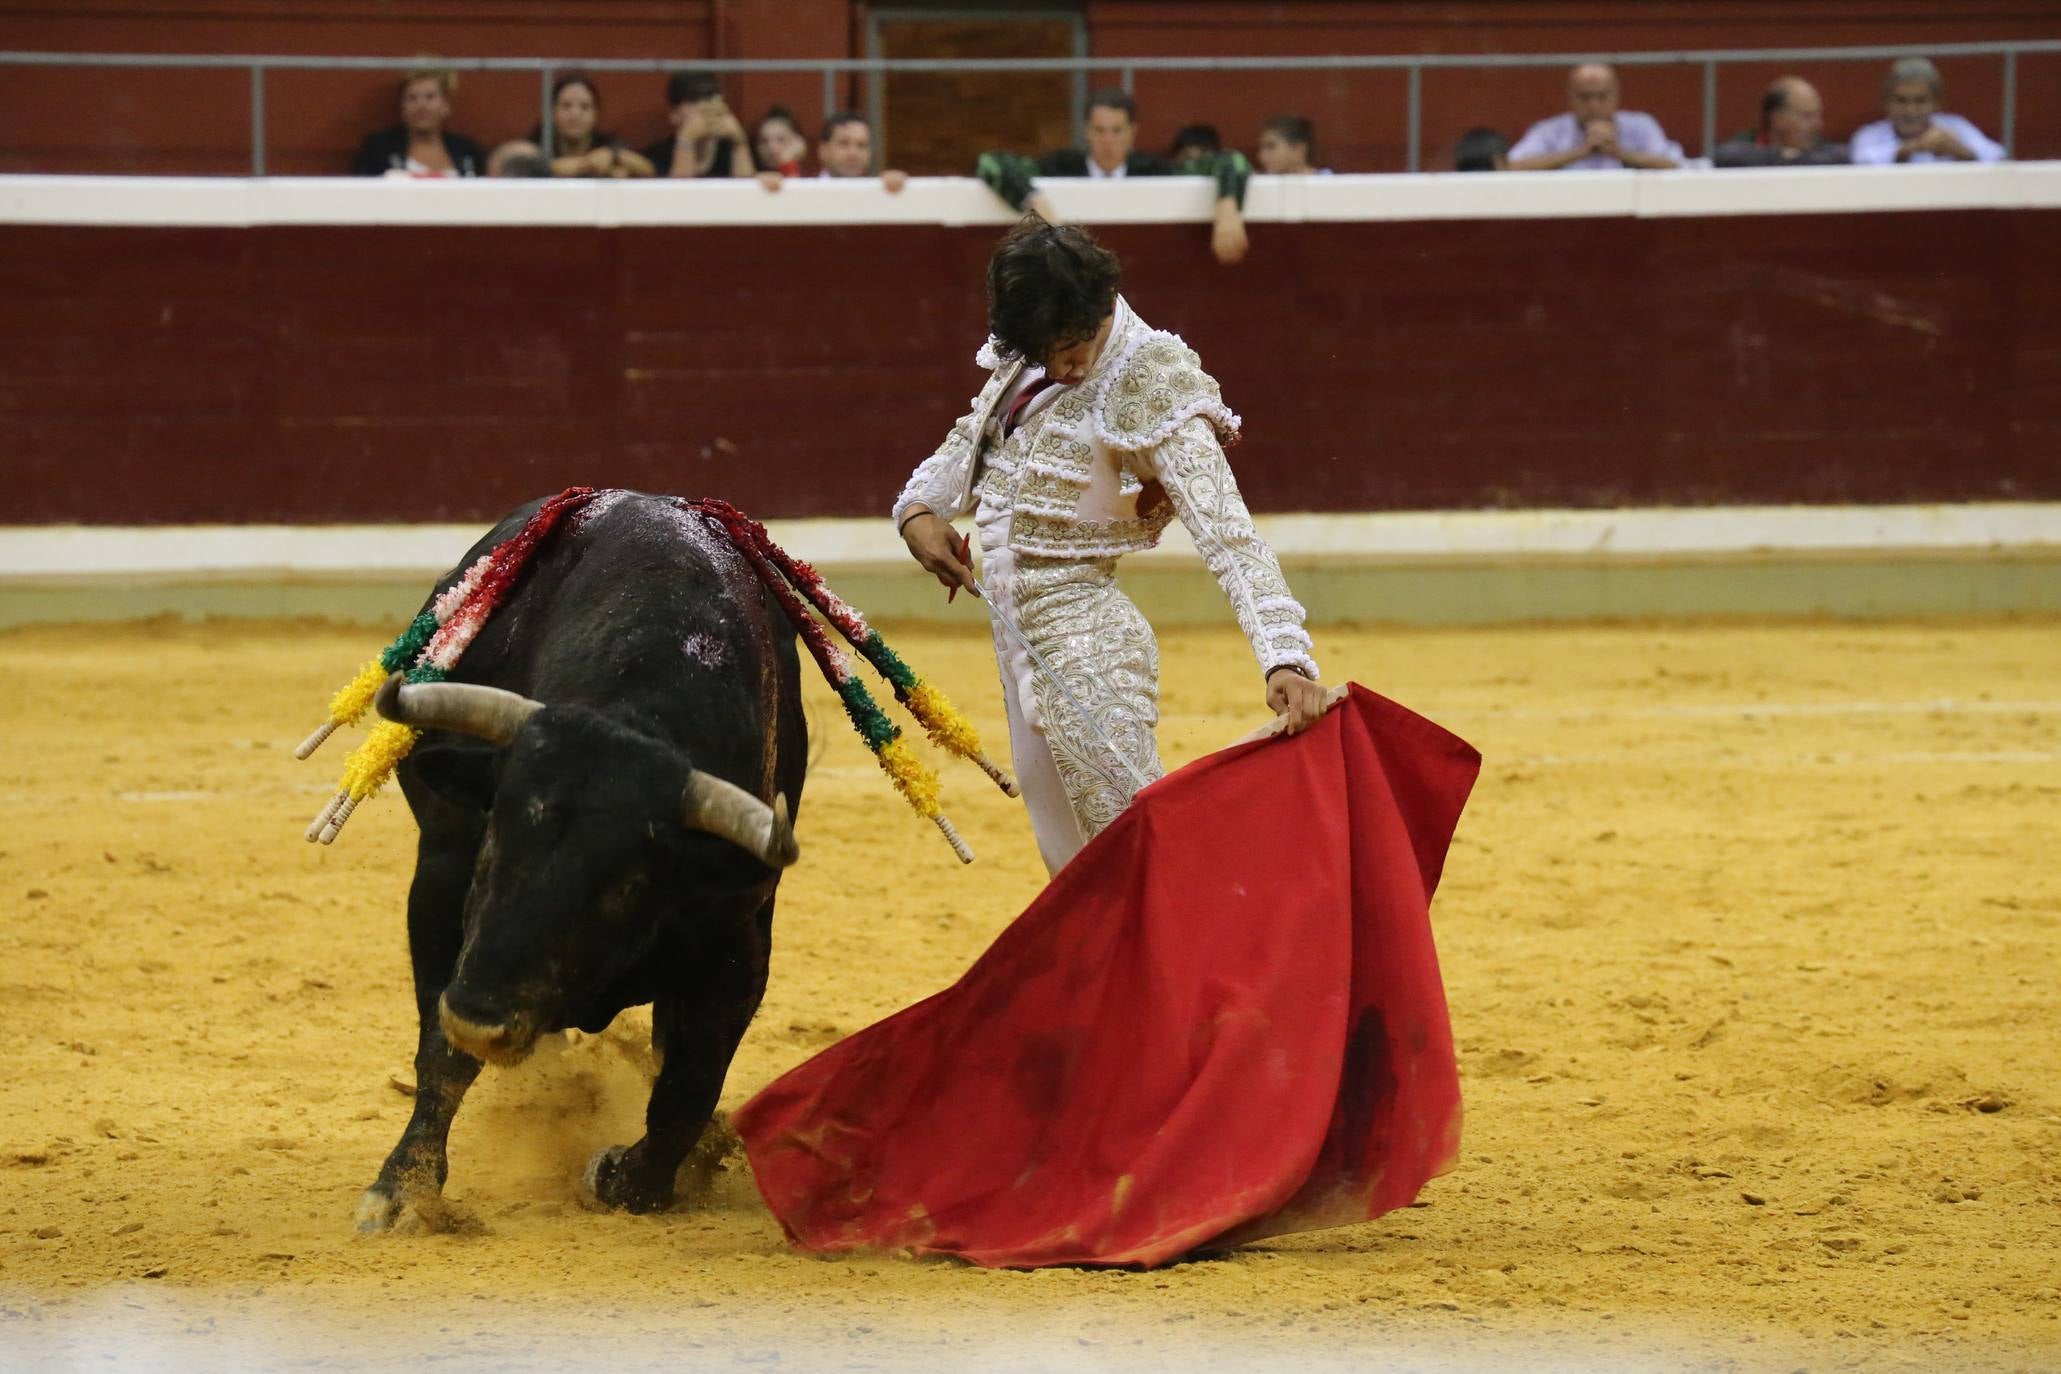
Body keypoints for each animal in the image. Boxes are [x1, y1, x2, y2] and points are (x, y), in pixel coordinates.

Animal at [354, 488, 803, 1227]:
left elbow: (688, 1088)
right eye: (494, 841)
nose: (481, 1018)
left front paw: (629, 1175)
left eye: (624, 887)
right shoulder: (442, 885)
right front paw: (400, 1193)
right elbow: (441, 1055)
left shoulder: (738, 948)